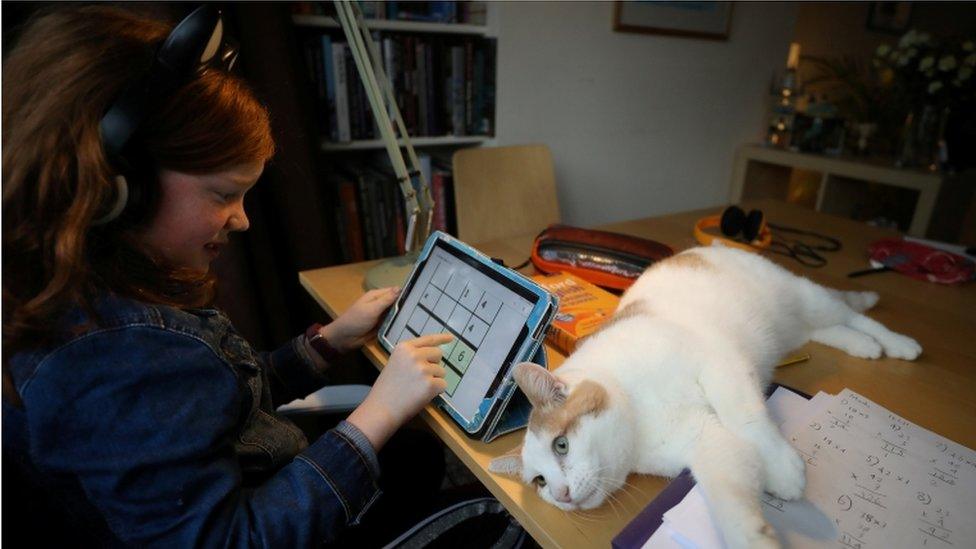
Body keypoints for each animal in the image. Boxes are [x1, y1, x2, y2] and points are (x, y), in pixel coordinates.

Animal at [492, 245, 920, 548]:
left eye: (561, 445)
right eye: (540, 482)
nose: (561, 495)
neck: (640, 418)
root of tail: (708, 247)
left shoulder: (720, 365)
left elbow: (747, 418)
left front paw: (783, 470)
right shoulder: (709, 444)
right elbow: (732, 502)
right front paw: (757, 535)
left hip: (804, 298)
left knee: (851, 314)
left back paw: (898, 343)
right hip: (793, 329)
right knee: (827, 330)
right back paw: (865, 346)